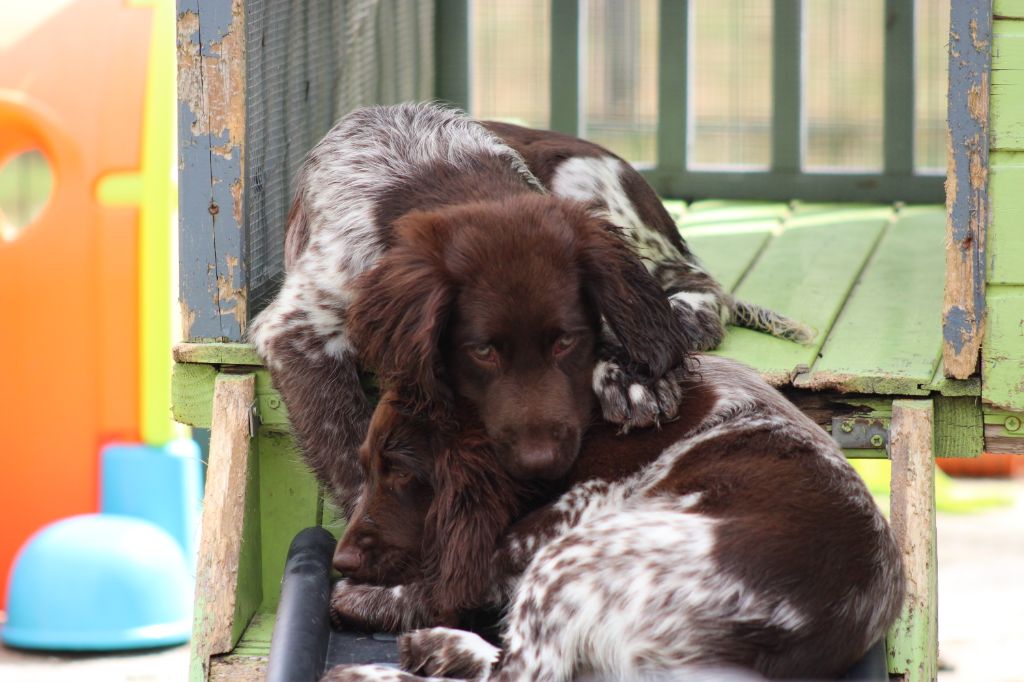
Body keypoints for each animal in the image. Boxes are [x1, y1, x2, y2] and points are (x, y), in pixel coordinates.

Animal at [323, 356, 901, 679]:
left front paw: (363, 599)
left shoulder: (568, 514)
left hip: (571, 558)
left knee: (522, 673)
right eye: (367, 466)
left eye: (401, 472)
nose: (340, 559)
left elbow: (460, 575)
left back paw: (370, 669)